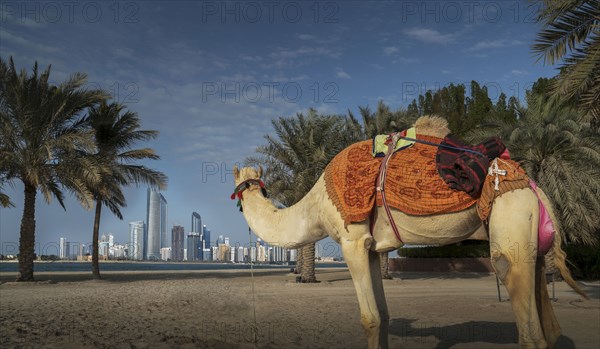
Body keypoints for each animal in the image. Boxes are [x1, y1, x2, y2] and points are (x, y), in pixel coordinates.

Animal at [233, 115, 584, 346]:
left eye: (247, 183)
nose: (242, 189)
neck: (316, 205)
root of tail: (533, 186)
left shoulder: (352, 240)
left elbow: (370, 319)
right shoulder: (371, 248)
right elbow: (385, 316)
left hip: (510, 220)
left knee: (528, 325)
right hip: (530, 239)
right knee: (546, 325)